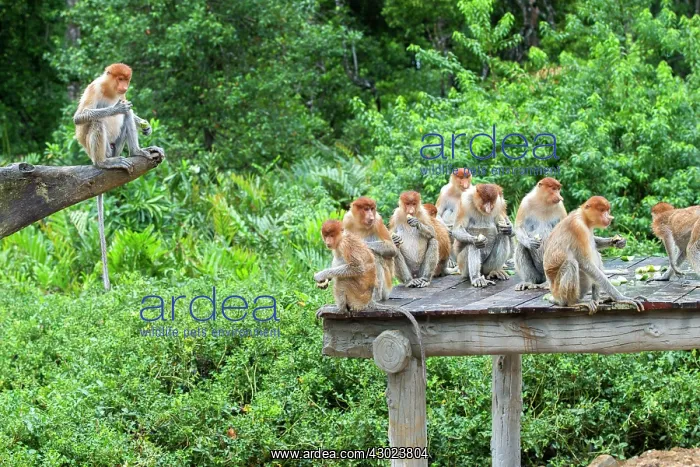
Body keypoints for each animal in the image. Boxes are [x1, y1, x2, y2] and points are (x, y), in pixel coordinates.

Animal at [74, 63, 164, 291]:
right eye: (119, 79)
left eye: (126, 79)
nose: (124, 86)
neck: (111, 91)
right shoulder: (95, 88)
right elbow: (80, 117)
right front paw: (116, 108)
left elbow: (131, 111)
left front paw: (145, 125)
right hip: (101, 149)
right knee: (96, 121)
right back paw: (104, 163)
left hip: (117, 147)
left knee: (127, 119)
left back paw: (138, 152)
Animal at [314, 219, 427, 385]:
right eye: (326, 235)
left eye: (332, 235)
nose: (328, 241)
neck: (341, 238)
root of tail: (368, 301)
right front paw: (324, 281)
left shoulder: (345, 245)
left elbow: (357, 267)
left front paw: (322, 275)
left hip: (357, 296)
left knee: (342, 280)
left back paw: (338, 309)